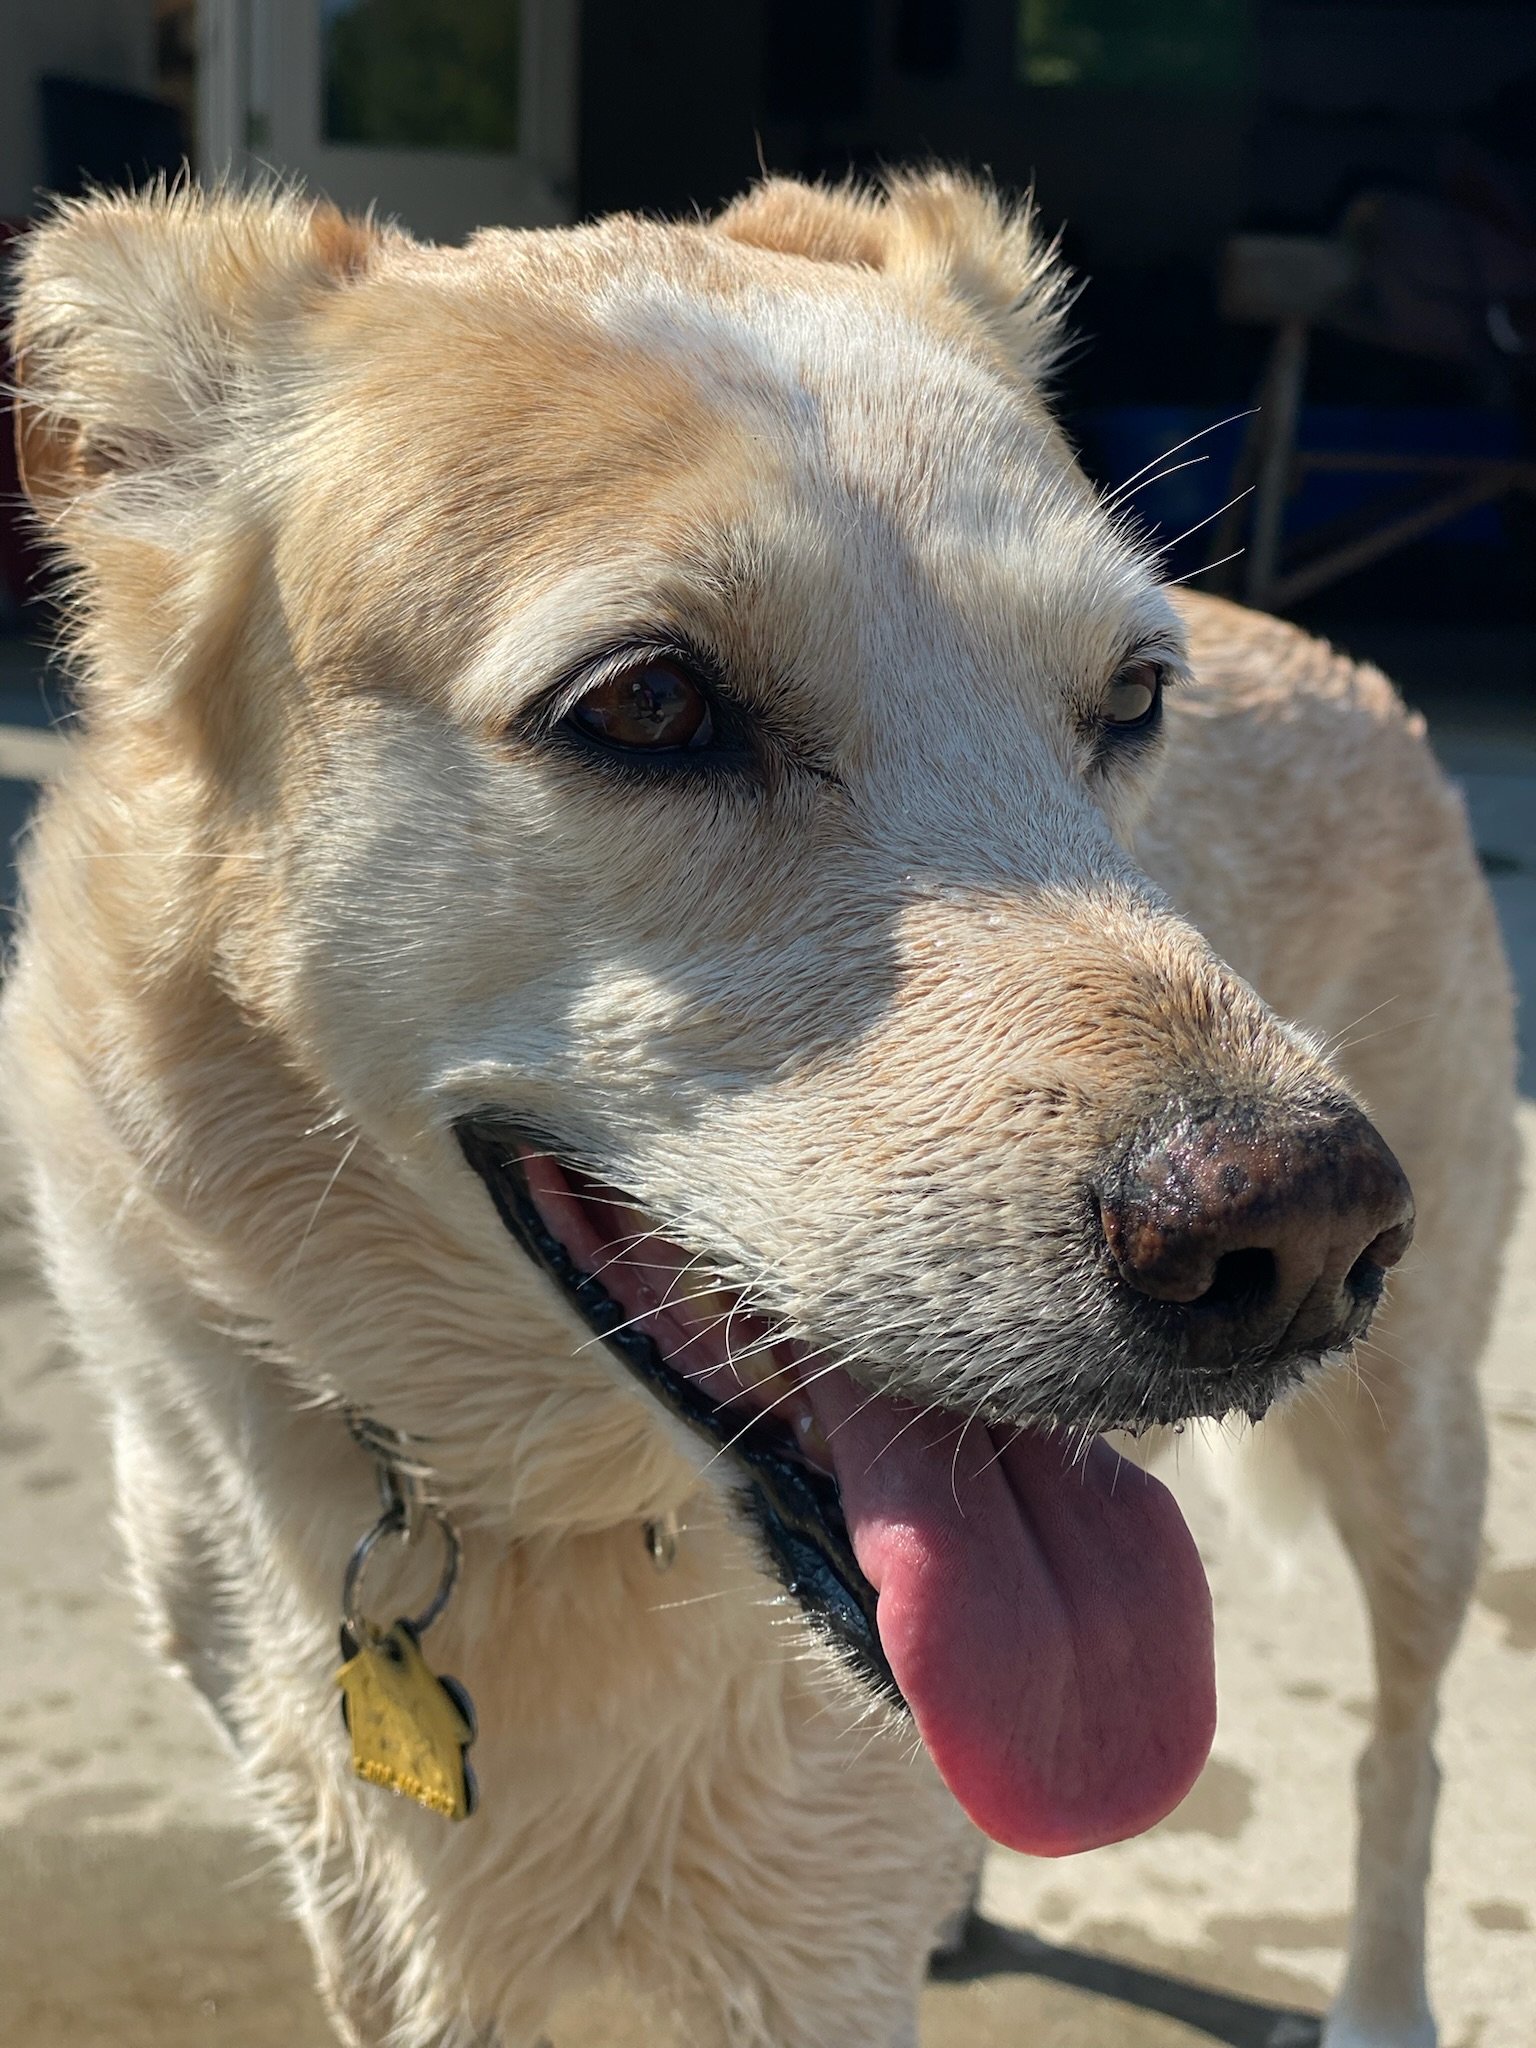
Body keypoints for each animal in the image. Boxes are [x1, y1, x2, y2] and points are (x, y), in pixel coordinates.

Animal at [5, 173, 1515, 2048]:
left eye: (1134, 701)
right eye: (651, 703)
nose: (1307, 1232)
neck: (539, 1512)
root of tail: (1336, 655)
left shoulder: (814, 1965)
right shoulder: (370, 1917)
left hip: (1420, 1451)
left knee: (1408, 1748)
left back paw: (1377, 1991)